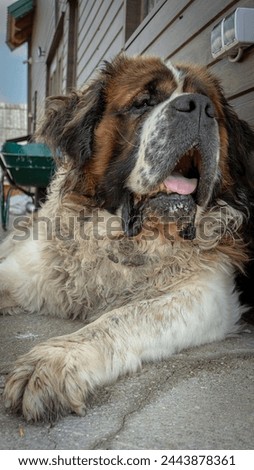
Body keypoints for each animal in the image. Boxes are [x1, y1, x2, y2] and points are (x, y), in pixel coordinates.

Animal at [1, 55, 254, 422]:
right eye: (143, 102)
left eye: (213, 112)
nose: (199, 107)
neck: (127, 240)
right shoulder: (25, 272)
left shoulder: (210, 295)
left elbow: (122, 316)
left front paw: (54, 360)